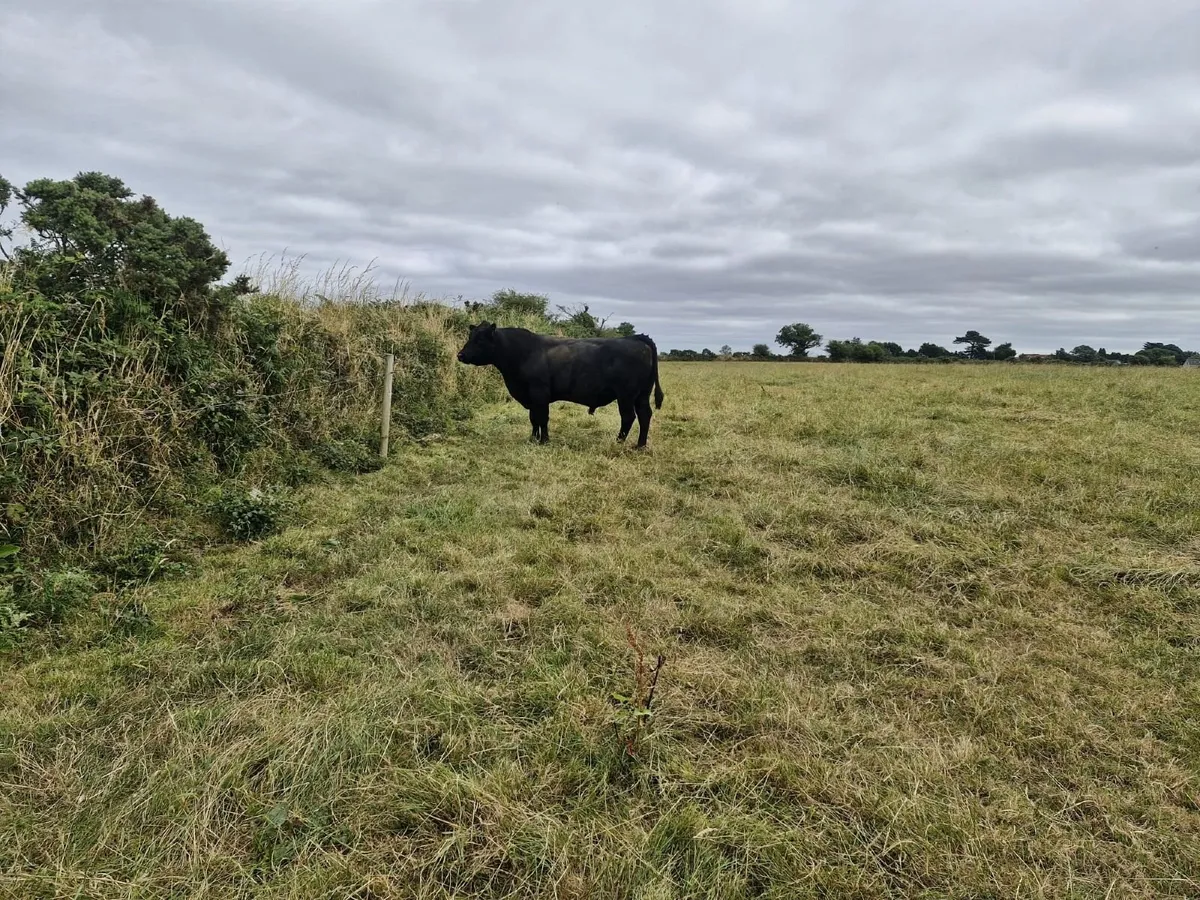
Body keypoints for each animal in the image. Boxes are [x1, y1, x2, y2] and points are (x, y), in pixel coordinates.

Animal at [456, 322, 665, 447]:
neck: (522, 353)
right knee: (645, 415)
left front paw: (544, 440)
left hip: (626, 395)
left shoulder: (539, 393)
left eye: (480, 340)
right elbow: (533, 418)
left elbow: (542, 418)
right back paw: (640, 445)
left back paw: (618, 441)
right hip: (642, 394)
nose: (460, 355)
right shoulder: (532, 397)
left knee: (628, 417)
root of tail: (636, 338)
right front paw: (533, 438)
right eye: (470, 337)